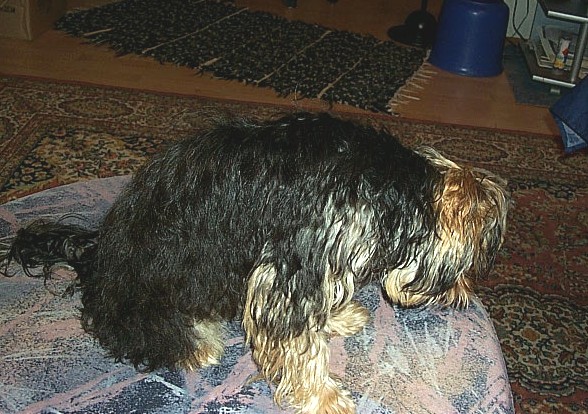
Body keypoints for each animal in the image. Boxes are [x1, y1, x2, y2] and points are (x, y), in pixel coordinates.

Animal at [1, 112, 509, 413]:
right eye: (464, 269)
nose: (463, 298)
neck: (395, 191)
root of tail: (96, 254)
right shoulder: (291, 263)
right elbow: (301, 346)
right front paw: (322, 397)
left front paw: (337, 317)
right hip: (146, 292)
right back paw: (194, 342)